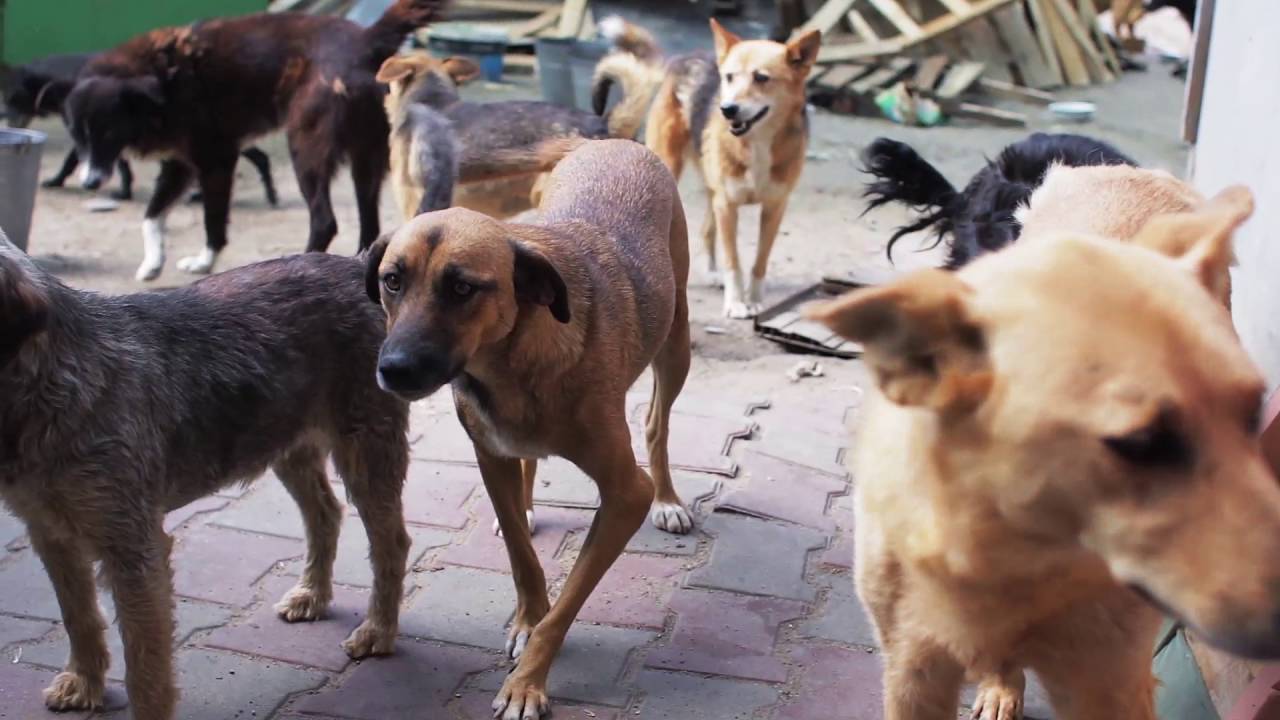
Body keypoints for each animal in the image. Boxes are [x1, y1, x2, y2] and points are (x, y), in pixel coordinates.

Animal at [67, 0, 453, 280]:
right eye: (78, 137)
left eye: (107, 132)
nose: (89, 183)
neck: (161, 81)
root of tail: (367, 38)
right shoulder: (181, 162)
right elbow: (152, 214)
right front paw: (153, 262)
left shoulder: (216, 159)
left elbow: (212, 219)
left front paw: (204, 261)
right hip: (365, 158)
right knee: (369, 224)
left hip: (305, 148)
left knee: (324, 219)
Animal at [366, 137, 696, 712]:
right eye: (392, 281)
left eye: (462, 288)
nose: (395, 369)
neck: (511, 364)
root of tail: (605, 141)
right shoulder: (490, 456)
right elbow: (522, 557)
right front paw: (526, 616)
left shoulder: (625, 494)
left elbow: (565, 608)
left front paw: (527, 682)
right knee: (528, 471)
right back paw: (524, 507)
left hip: (677, 345)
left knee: (658, 423)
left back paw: (669, 500)